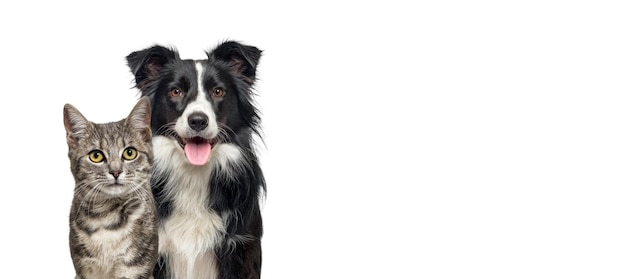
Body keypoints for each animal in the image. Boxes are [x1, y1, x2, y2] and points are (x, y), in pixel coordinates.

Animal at [63, 96, 158, 279]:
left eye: (130, 153)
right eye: (96, 156)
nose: (115, 171)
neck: (106, 215)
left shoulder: (136, 268)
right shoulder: (83, 268)